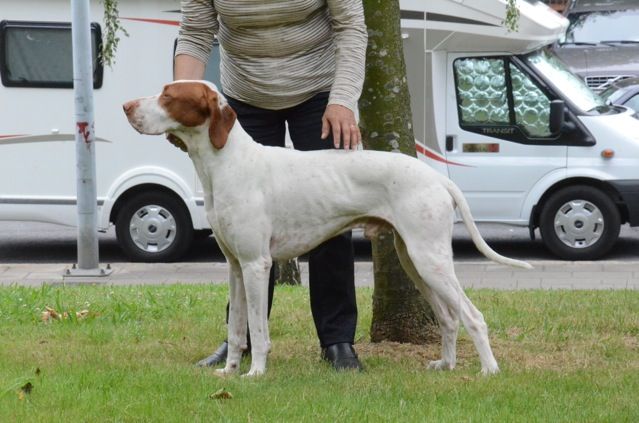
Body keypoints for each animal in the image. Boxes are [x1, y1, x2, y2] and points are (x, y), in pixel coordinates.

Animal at [124, 82, 528, 378]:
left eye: (168, 95)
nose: (126, 106)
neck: (227, 163)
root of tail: (436, 177)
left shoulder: (257, 265)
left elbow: (257, 328)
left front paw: (255, 373)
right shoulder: (236, 267)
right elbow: (236, 329)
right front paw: (229, 371)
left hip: (430, 259)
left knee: (473, 316)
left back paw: (489, 371)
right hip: (414, 259)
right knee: (448, 317)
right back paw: (446, 364)